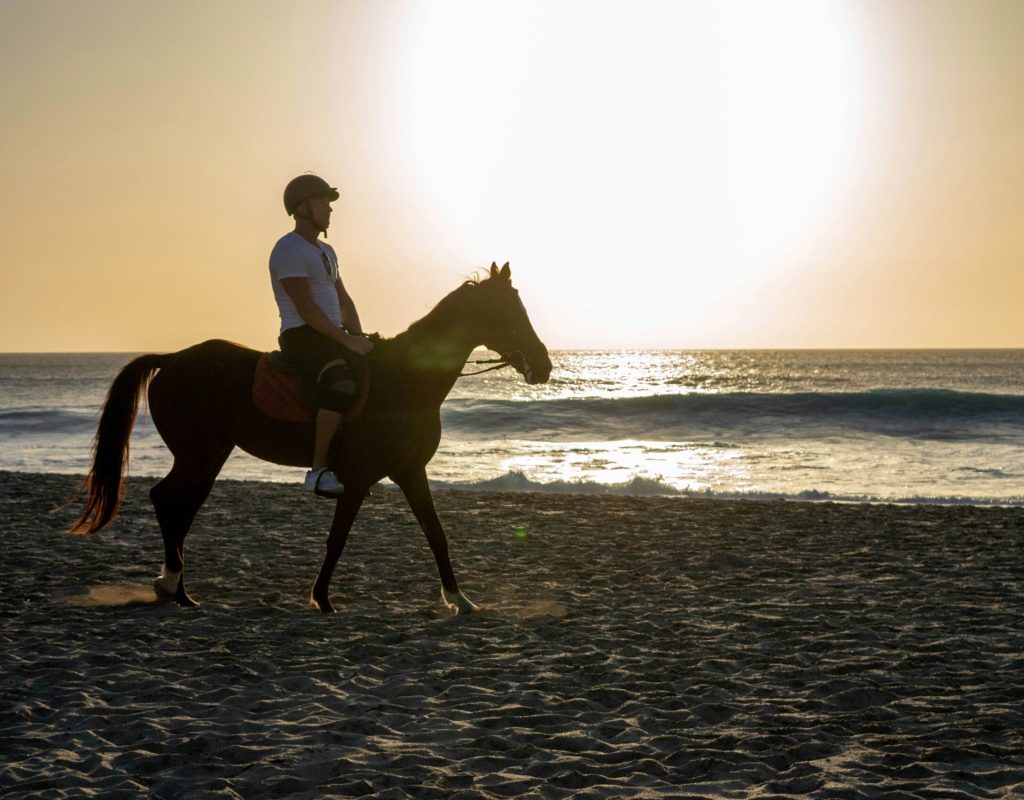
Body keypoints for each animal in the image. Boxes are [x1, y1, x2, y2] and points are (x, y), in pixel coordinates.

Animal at [69, 262, 552, 614]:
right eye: (506, 312)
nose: (544, 366)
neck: (405, 381)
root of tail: (172, 360)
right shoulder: (357, 478)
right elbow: (337, 538)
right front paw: (322, 599)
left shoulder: (410, 471)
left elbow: (437, 533)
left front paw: (460, 600)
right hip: (199, 454)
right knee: (167, 501)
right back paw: (174, 587)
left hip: (208, 457)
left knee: (179, 507)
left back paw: (177, 589)